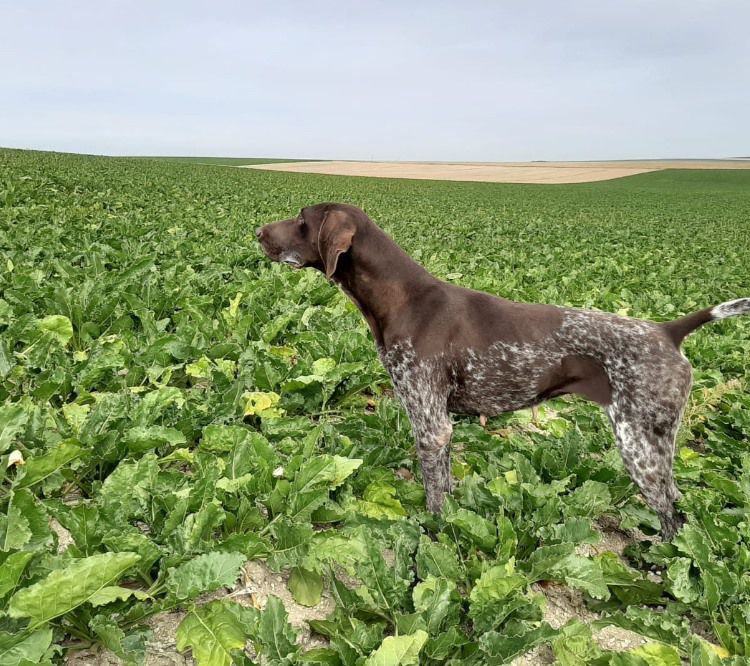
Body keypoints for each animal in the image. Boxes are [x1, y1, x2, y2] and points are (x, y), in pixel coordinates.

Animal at [258, 200, 750, 536]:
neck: (401, 300)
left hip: (639, 443)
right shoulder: (442, 426)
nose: (258, 230)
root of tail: (668, 331)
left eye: (302, 220)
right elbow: (446, 487)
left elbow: (434, 497)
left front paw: (432, 536)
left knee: (672, 513)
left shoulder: (429, 423)